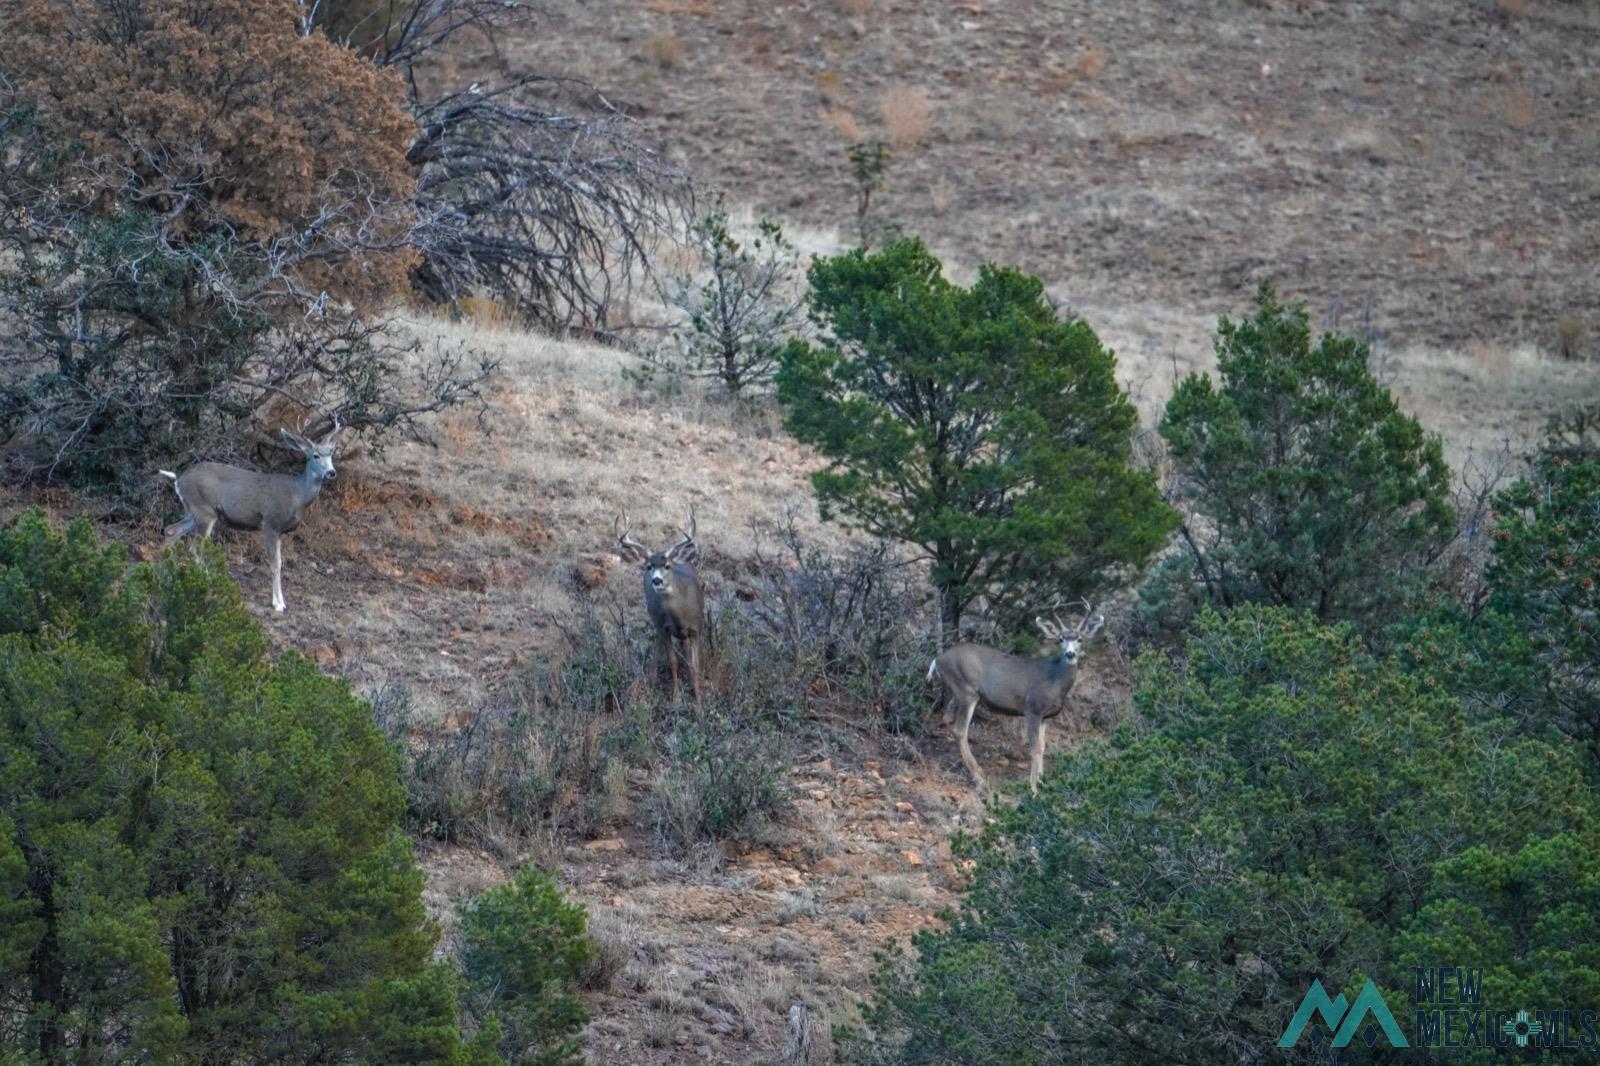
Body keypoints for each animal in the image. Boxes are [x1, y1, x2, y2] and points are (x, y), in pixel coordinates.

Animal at [617, 512, 707, 701]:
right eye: (649, 566)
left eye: (667, 566)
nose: (656, 580)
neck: (681, 615)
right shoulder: (665, 628)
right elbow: (673, 661)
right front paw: (676, 697)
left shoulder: (696, 628)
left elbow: (694, 665)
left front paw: (698, 700)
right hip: (655, 619)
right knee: (658, 641)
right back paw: (652, 675)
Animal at [921, 605, 1107, 787]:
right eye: (1060, 639)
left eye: (1080, 639)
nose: (1070, 654)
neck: (1055, 679)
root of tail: (938, 659)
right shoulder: (1033, 709)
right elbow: (1035, 748)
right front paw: (1034, 787)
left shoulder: (1046, 717)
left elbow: (1043, 746)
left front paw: (1041, 782)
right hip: (967, 690)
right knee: (960, 730)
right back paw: (979, 777)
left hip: (958, 692)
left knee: (946, 718)